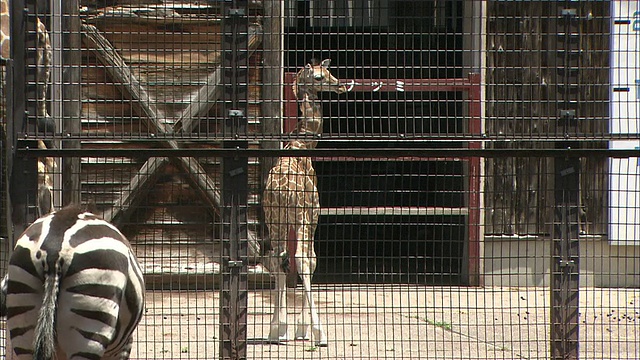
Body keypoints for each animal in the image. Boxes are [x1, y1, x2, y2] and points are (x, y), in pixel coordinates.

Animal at [262, 58, 348, 346]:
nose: (341, 85)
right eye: (320, 77)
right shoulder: (313, 212)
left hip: (274, 219)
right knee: (300, 256)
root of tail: (279, 192)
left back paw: (276, 329)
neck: (304, 142)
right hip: (299, 216)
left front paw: (286, 327)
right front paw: (306, 328)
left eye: (329, 71)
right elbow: (310, 259)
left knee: (275, 257)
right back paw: (319, 332)